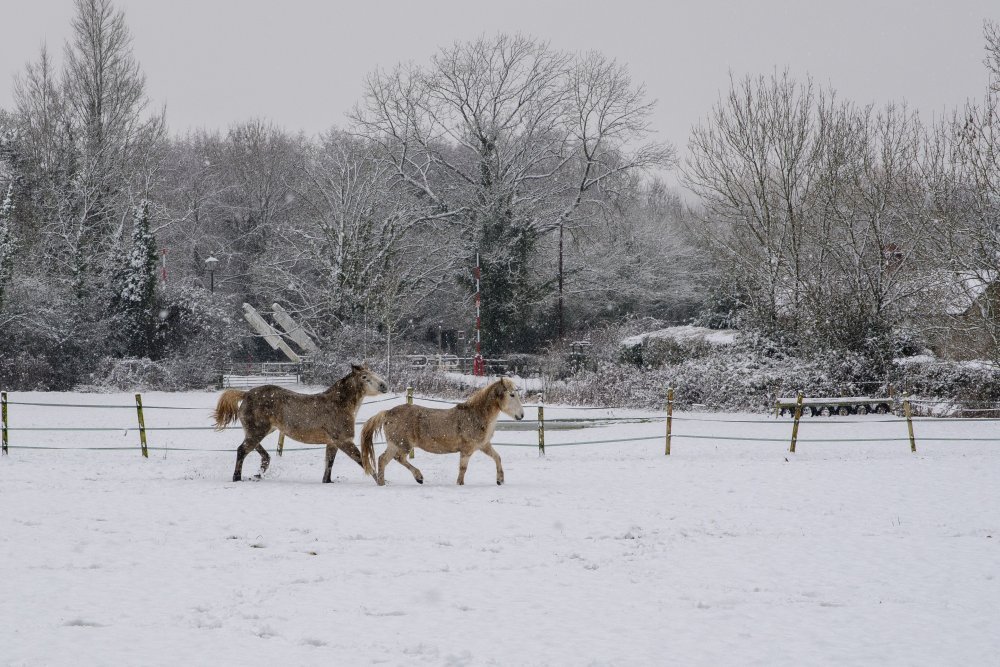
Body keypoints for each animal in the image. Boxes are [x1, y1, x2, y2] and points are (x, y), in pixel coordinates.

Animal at [213, 363, 388, 483]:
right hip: (258, 431)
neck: (339, 404)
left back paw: (260, 472)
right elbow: (363, 461)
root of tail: (246, 393)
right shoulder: (344, 441)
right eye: (364, 377)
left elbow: (329, 464)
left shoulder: (332, 443)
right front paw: (382, 481)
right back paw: (238, 477)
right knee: (242, 450)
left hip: (261, 430)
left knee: (254, 450)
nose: (384, 385)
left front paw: (328, 481)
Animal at [360, 377, 524, 486]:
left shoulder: (484, 445)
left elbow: (497, 457)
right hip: (402, 445)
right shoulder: (467, 450)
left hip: (394, 444)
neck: (475, 416)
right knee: (397, 458)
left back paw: (382, 483)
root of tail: (388, 412)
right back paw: (418, 477)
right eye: (512, 395)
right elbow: (463, 468)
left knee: (383, 459)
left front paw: (500, 480)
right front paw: (460, 484)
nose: (521, 415)